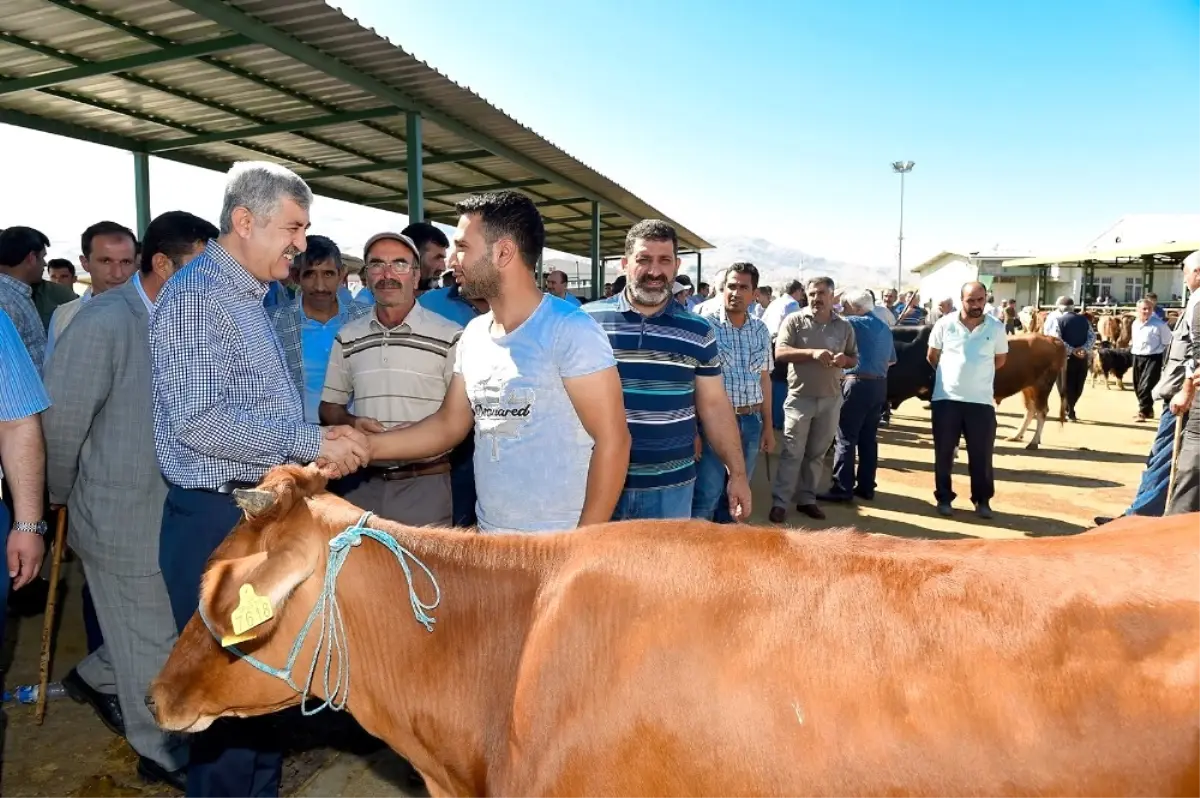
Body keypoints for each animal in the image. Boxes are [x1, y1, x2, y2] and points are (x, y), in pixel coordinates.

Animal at [888, 326, 1065, 444]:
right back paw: (1016, 436)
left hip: (1042, 386)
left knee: (1042, 412)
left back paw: (1034, 442)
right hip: (1027, 387)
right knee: (1030, 410)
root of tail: (1051, 339)